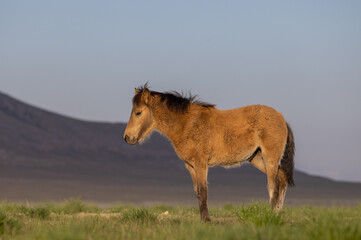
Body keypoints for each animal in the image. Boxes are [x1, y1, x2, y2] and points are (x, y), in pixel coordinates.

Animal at [122, 83, 294, 222]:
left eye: (138, 113)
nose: (127, 137)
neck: (187, 124)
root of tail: (281, 118)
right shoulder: (190, 166)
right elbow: (198, 192)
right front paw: (203, 218)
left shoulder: (201, 164)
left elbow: (203, 191)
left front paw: (207, 220)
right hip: (257, 158)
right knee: (282, 177)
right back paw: (277, 212)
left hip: (269, 157)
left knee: (272, 186)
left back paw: (270, 214)